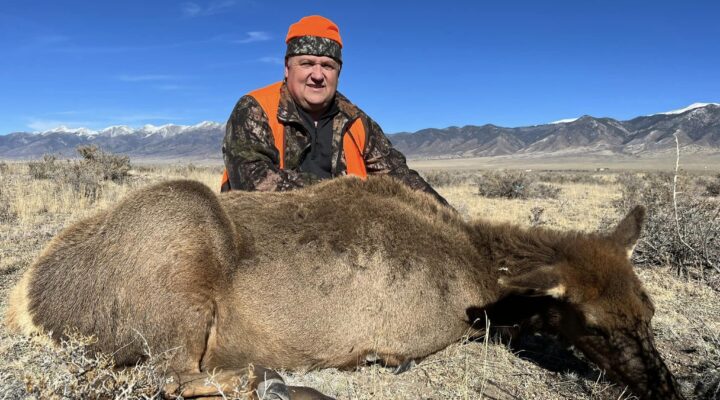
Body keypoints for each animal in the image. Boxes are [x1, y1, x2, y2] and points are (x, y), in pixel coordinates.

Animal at [4, 177, 688, 398]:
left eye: (650, 310)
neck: (476, 268)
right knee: (166, 375)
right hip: (184, 239)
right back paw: (264, 377)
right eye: (594, 323)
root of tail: (32, 302)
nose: (664, 387)